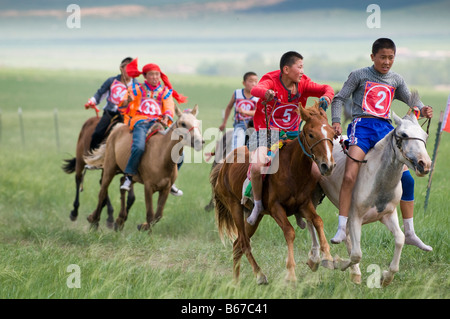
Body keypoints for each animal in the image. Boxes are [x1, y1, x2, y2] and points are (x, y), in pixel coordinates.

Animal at [213, 102, 336, 284]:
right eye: (311, 134)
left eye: (333, 134)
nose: (328, 165)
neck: (292, 169)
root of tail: (224, 166)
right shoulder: (276, 208)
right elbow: (290, 232)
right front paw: (291, 273)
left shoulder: (304, 204)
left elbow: (318, 221)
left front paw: (327, 257)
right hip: (235, 207)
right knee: (244, 243)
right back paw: (259, 275)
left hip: (253, 216)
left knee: (237, 245)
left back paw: (235, 282)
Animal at [322, 112, 430, 288]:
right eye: (404, 135)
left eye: (424, 135)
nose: (425, 164)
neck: (378, 180)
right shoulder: (355, 217)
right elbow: (356, 254)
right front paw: (337, 263)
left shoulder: (387, 215)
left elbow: (399, 239)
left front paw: (386, 277)